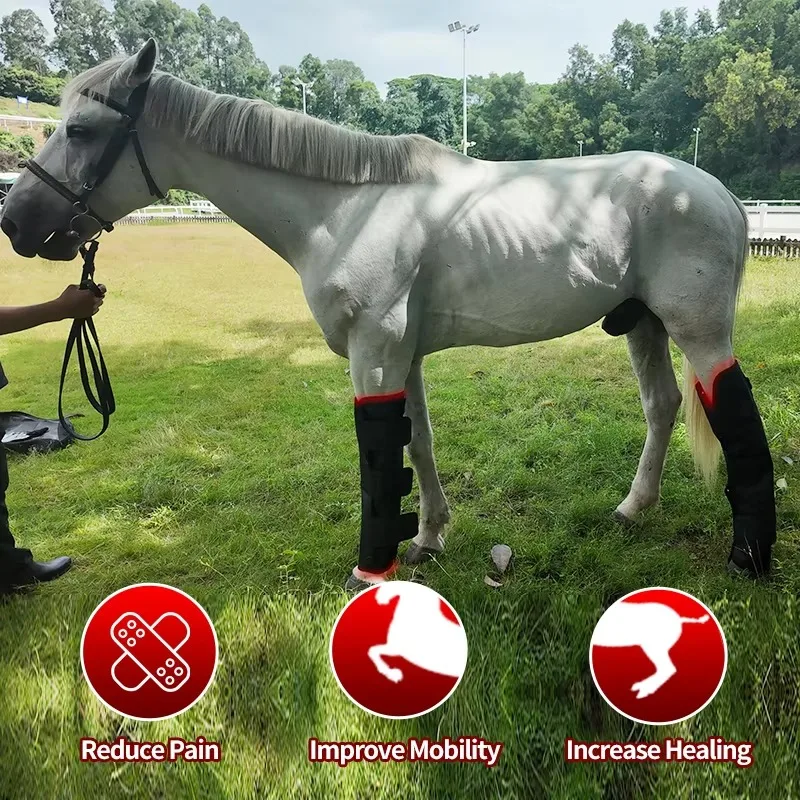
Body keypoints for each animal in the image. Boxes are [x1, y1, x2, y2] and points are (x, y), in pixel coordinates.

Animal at [0, 40, 776, 588]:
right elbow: (418, 443)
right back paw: (632, 509)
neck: (344, 210)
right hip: (642, 322)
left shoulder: (373, 354)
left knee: (732, 410)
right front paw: (429, 538)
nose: (15, 221)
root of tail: (720, 194)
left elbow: (378, 454)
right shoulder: (404, 354)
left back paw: (751, 554)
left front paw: (373, 567)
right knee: (663, 405)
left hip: (698, 330)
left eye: (79, 129)